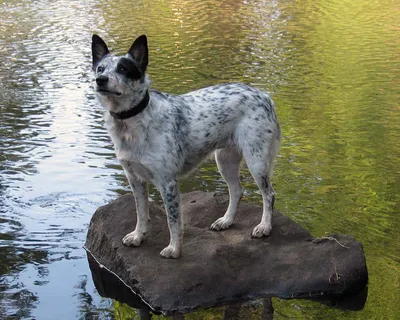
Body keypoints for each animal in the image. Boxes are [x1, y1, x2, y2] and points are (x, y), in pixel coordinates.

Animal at [91, 35, 282, 258]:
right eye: (100, 68)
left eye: (123, 69)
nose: (101, 80)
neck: (132, 123)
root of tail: (264, 95)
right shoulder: (135, 179)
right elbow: (141, 212)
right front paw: (138, 236)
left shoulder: (167, 182)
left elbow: (173, 221)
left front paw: (174, 249)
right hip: (225, 160)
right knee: (236, 191)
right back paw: (226, 221)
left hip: (256, 161)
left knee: (268, 195)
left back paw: (265, 226)